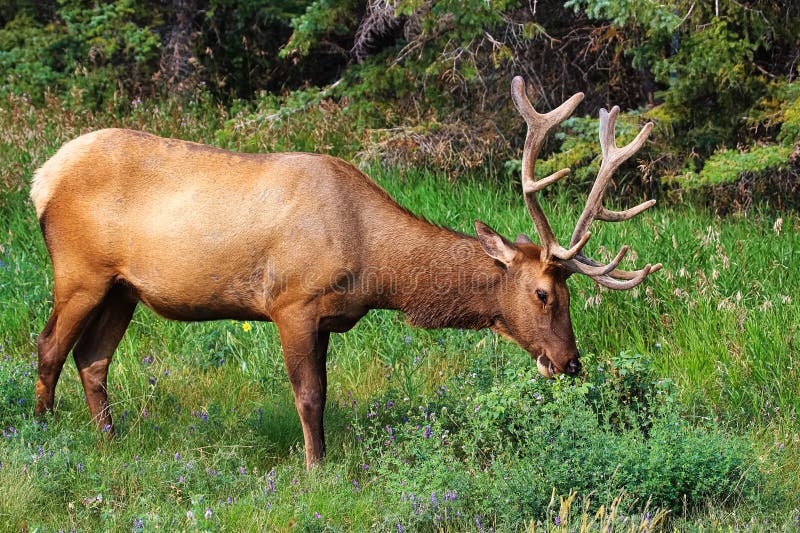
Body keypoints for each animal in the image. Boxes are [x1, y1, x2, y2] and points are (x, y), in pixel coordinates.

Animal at [30, 76, 661, 469]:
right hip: (79, 270)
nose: (571, 363)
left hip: (123, 287)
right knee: (49, 347)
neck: (372, 267)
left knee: (92, 359)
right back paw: (41, 439)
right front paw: (314, 468)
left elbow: (325, 393)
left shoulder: (328, 320)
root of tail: (41, 178)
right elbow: (309, 396)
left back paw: (109, 440)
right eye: (543, 293)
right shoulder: (291, 303)